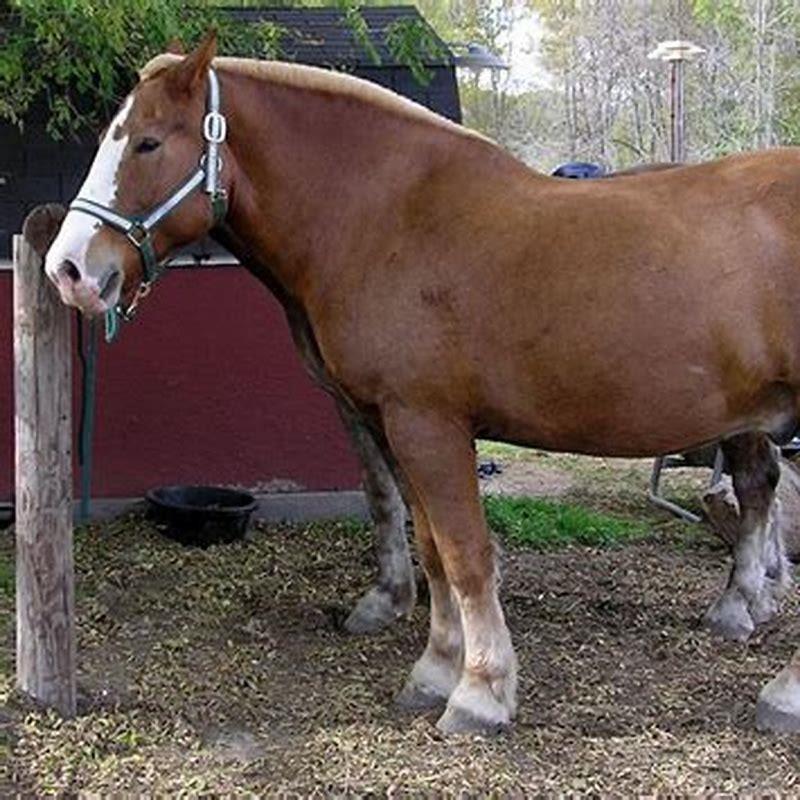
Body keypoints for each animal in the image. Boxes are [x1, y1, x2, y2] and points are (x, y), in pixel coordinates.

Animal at [44, 33, 800, 734]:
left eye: (147, 143)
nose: (69, 269)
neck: (392, 219)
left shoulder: (426, 423)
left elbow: (465, 556)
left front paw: (481, 691)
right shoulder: (389, 422)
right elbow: (429, 547)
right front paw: (437, 667)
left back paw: (777, 684)